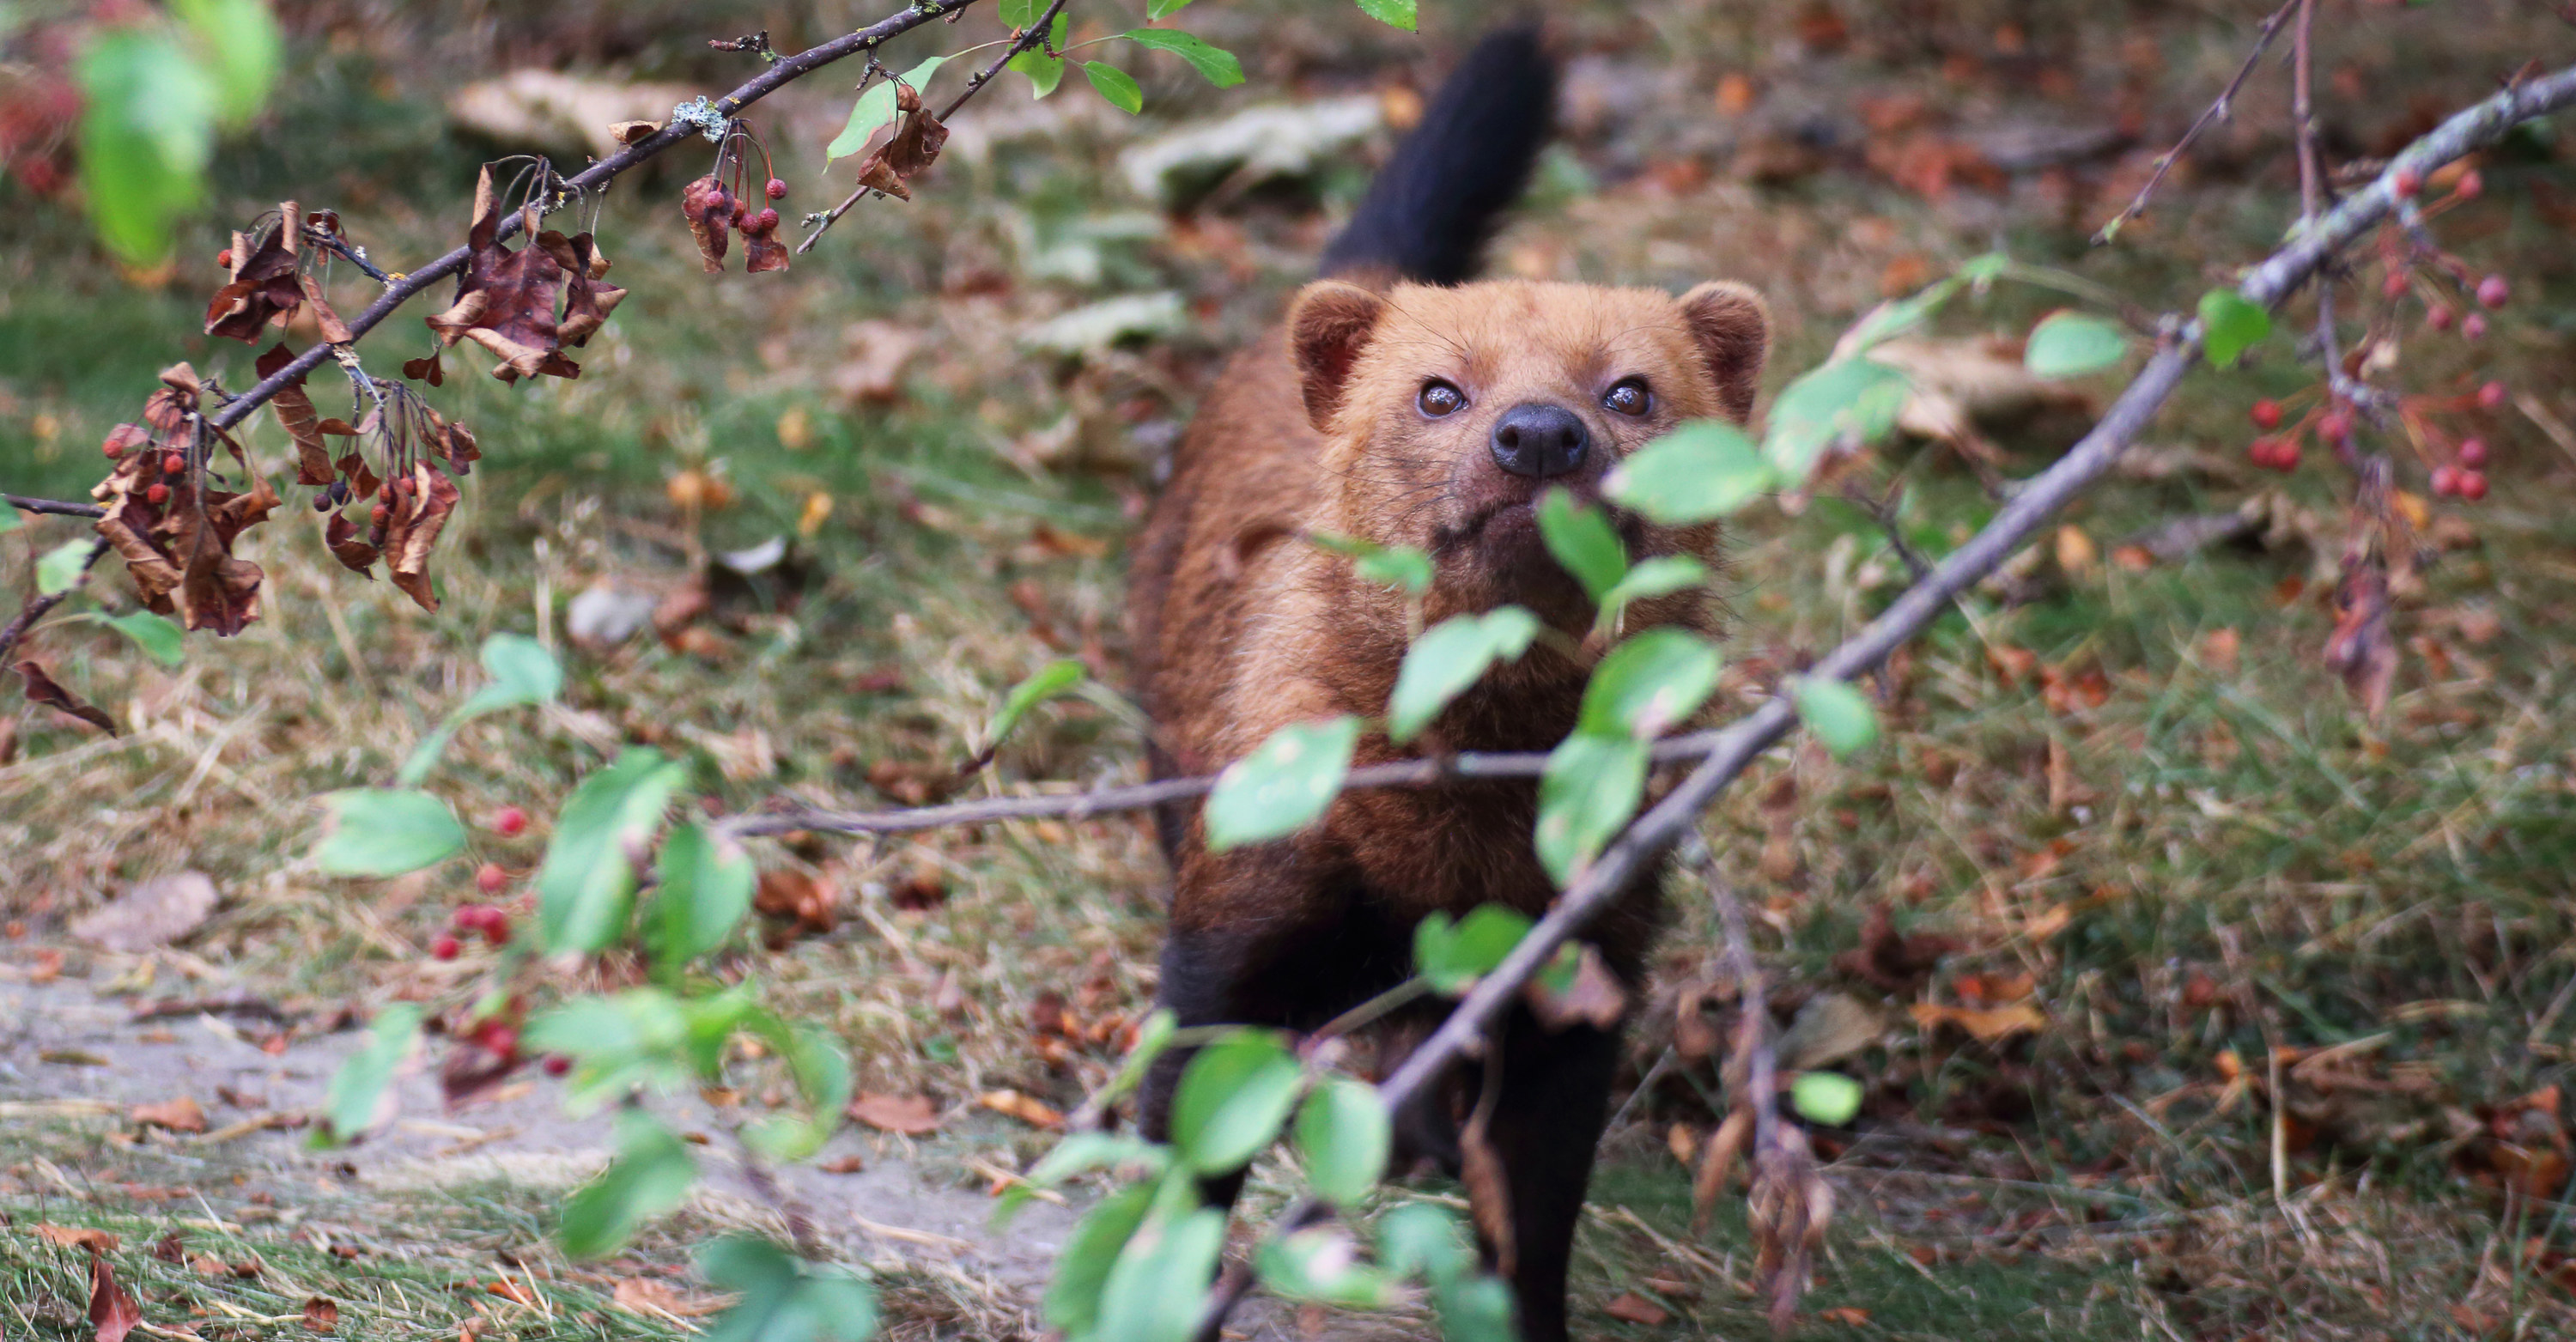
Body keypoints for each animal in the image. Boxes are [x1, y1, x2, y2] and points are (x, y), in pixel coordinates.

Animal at [1128, 23, 1772, 1339]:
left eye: (1631, 389)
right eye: (1438, 390)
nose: (1539, 432)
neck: (1446, 864)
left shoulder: (1578, 978)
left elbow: (1529, 1220)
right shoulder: (1227, 936)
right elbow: (1180, 1156)